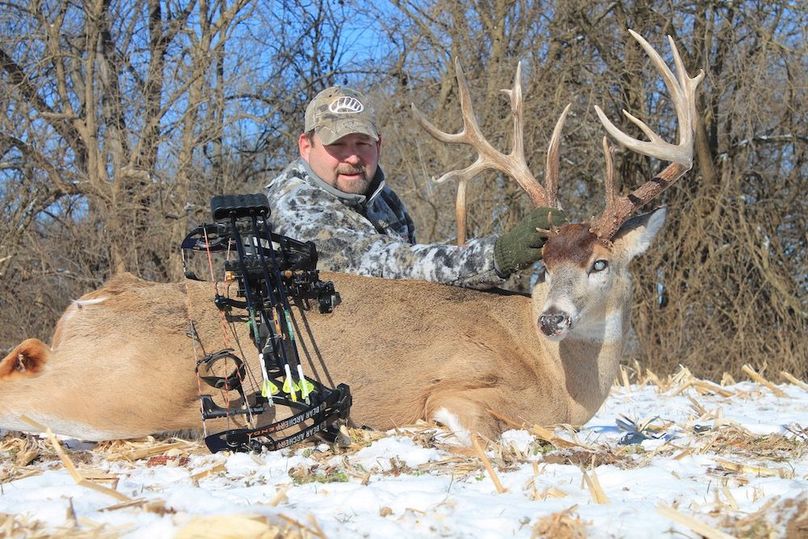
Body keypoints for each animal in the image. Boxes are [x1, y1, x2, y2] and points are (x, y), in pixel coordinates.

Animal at [0, 31, 703, 446]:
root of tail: (79, 310)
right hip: (128, 387)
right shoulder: (457, 388)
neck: (557, 375)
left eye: (600, 262)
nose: (553, 318)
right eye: (544, 266)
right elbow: (488, 428)